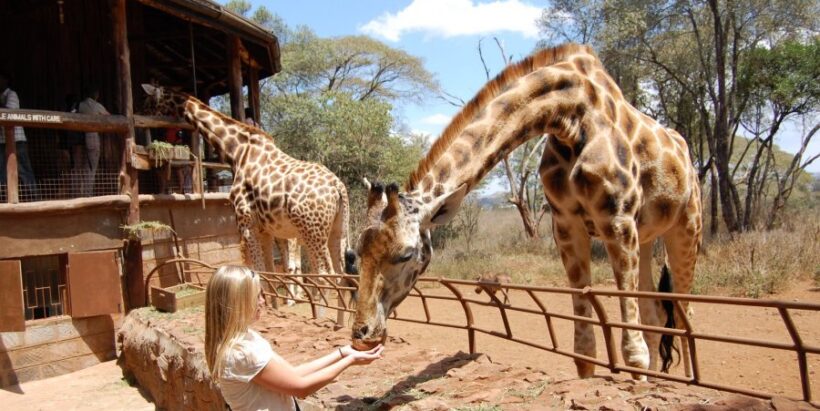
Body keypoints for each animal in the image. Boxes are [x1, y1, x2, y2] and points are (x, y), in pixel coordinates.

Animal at [141, 84, 356, 325]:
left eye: (148, 101)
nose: (143, 120)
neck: (237, 151)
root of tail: (338, 187)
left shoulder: (245, 224)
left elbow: (260, 272)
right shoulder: (266, 230)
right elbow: (271, 272)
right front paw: (273, 308)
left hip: (312, 232)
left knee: (326, 276)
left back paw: (321, 320)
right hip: (337, 230)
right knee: (342, 275)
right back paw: (339, 323)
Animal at [350, 44, 702, 380]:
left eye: (406, 254)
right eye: (356, 253)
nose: (362, 333)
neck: (570, 116)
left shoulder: (617, 219)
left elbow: (633, 349)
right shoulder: (566, 226)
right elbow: (584, 348)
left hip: (686, 228)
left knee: (686, 315)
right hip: (646, 236)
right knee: (655, 312)